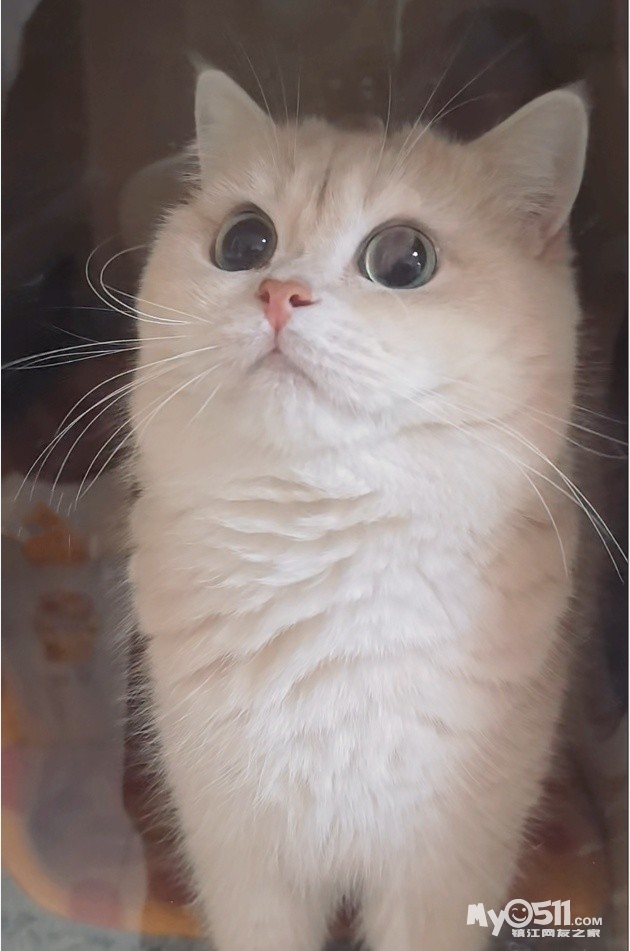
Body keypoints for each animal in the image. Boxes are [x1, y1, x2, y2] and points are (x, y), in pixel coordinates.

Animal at [129, 69, 588, 950]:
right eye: (244, 243)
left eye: (404, 259)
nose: (278, 292)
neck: (316, 545)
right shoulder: (244, 866)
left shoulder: (441, 874)